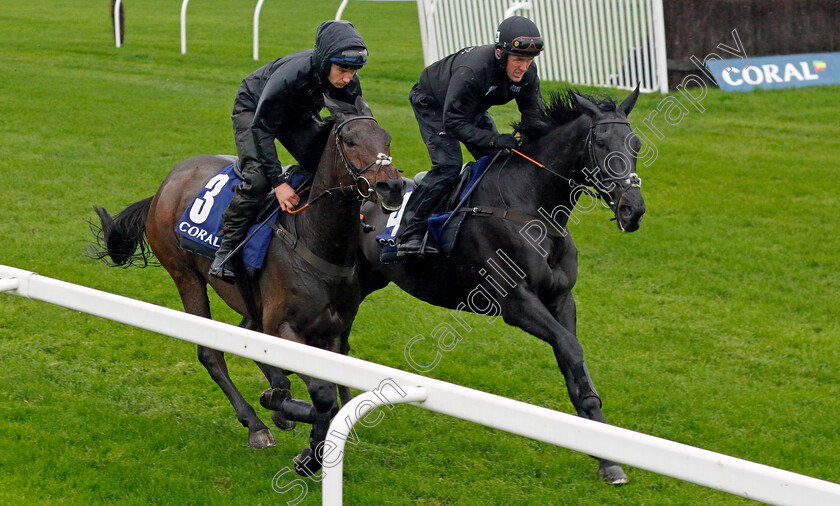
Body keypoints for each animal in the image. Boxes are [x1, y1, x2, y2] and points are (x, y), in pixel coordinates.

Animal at [91, 97, 404, 472]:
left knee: (248, 336)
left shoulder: (333, 332)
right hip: (185, 275)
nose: (393, 187)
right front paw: (307, 448)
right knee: (211, 352)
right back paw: (257, 424)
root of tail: (165, 184)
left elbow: (329, 391)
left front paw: (306, 431)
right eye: (350, 141)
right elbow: (322, 395)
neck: (314, 239)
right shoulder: (283, 326)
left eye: (387, 138)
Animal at [358, 89, 648, 484]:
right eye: (601, 143)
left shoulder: (561, 300)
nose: (633, 209)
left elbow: (572, 360)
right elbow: (570, 347)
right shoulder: (515, 302)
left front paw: (607, 459)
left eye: (635, 144)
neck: (534, 208)